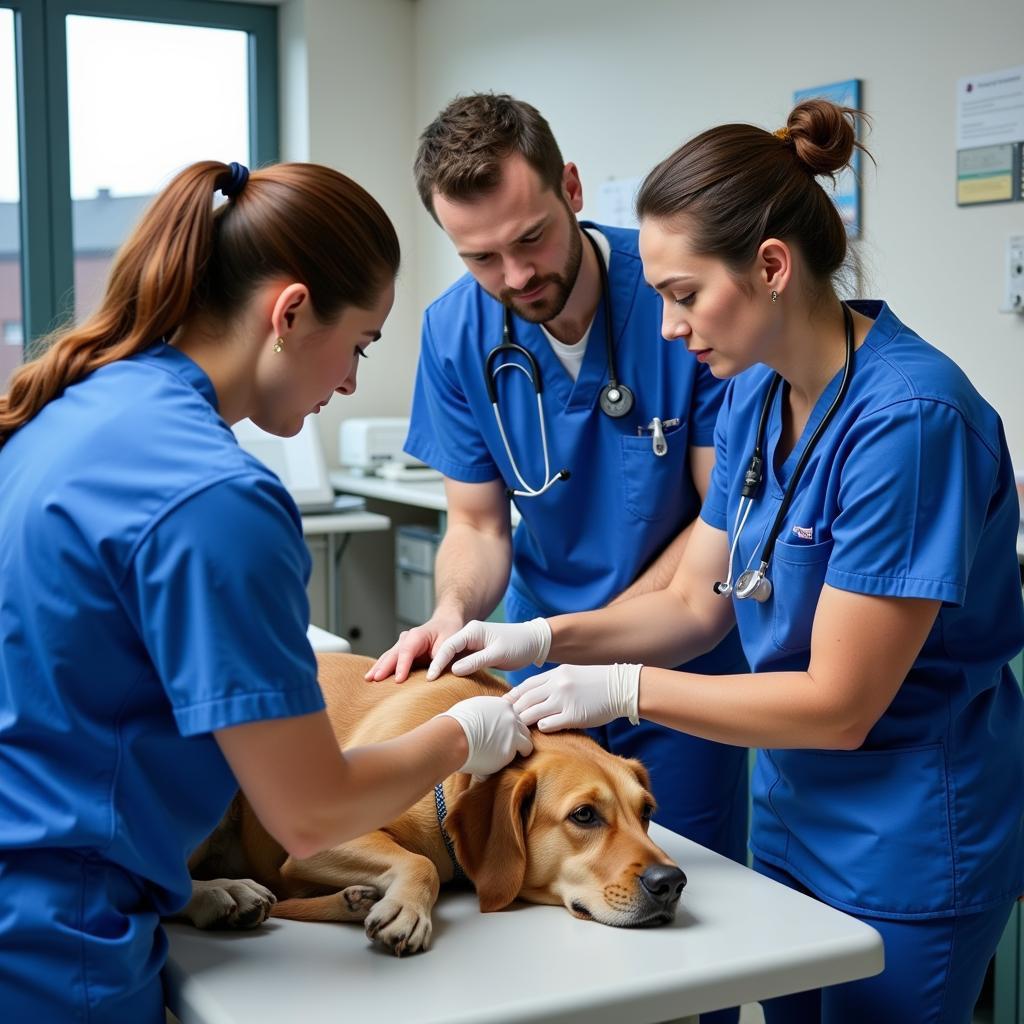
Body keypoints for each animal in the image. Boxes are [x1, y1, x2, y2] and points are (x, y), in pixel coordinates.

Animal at [182, 651, 688, 954]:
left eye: (646, 812)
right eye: (584, 815)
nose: (672, 882)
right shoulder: (321, 833)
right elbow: (420, 862)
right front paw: (408, 907)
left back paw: (351, 899)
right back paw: (222, 894)